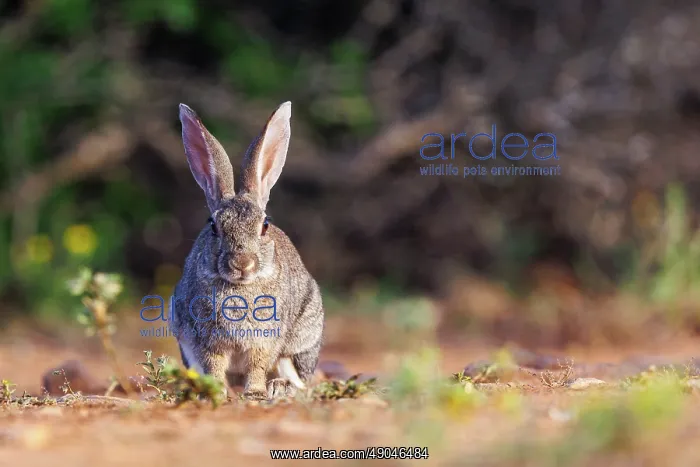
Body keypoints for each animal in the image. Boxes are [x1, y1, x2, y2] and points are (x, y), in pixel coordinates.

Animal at [170, 101, 325, 400]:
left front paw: (254, 393)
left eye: (265, 225)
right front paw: (216, 392)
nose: (242, 263)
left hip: (302, 341)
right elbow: (215, 366)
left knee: (300, 379)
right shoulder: (207, 342)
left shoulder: (265, 340)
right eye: (213, 226)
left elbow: (257, 365)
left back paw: (280, 387)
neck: (240, 287)